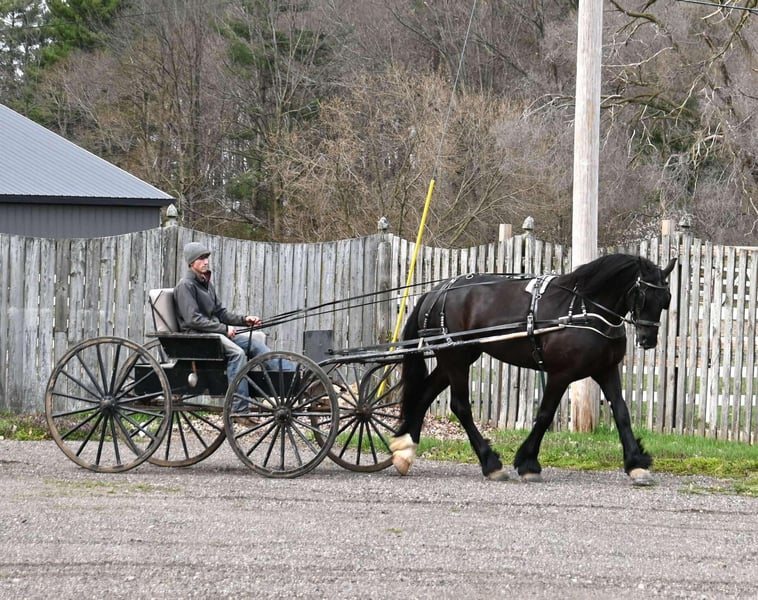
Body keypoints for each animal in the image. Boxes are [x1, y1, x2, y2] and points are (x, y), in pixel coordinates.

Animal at [390, 253, 676, 486]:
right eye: (642, 295)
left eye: (666, 299)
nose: (648, 340)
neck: (584, 309)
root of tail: (435, 292)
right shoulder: (561, 374)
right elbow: (545, 414)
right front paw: (528, 463)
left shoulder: (606, 370)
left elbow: (621, 413)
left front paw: (636, 464)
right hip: (455, 358)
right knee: (460, 406)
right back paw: (490, 463)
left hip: (457, 358)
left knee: (424, 394)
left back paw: (405, 450)